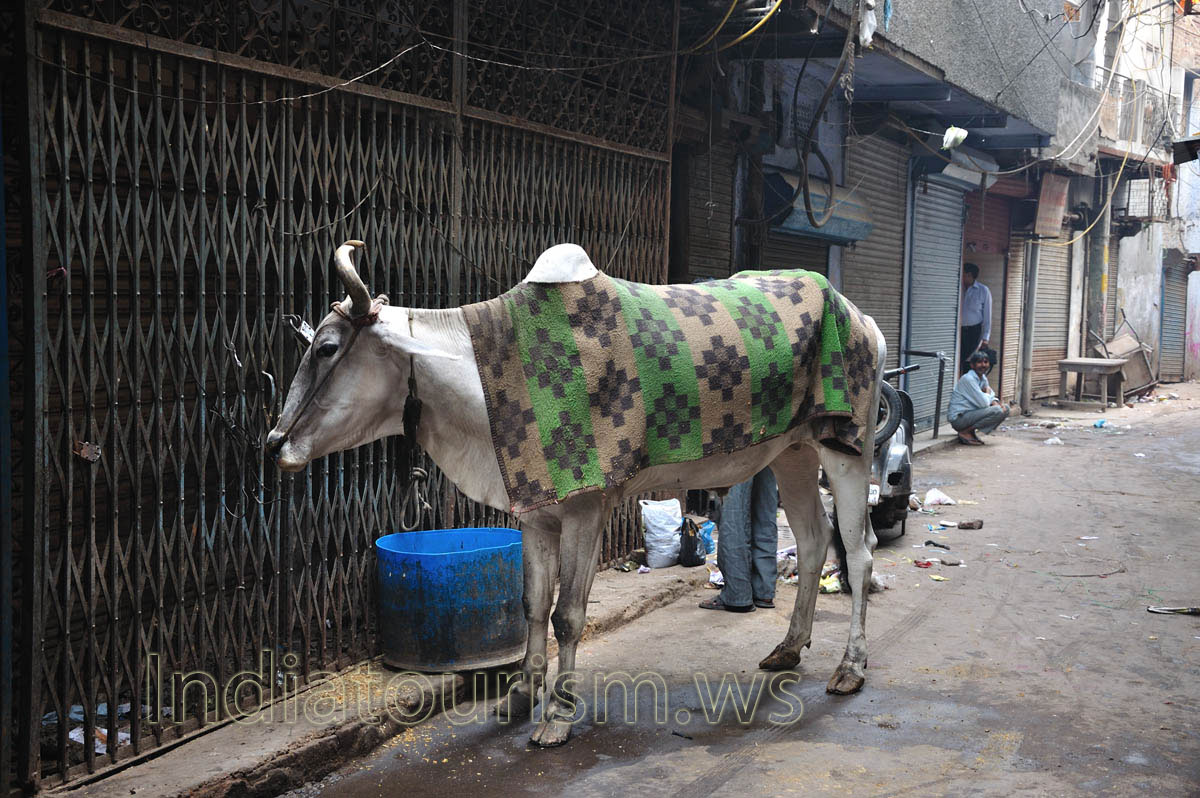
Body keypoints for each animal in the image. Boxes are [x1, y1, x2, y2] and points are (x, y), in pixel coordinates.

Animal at [266, 240, 885, 747]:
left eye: (327, 348)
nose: (274, 443)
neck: (489, 376)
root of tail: (865, 321)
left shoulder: (588, 509)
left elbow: (568, 615)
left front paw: (558, 715)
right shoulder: (536, 515)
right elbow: (532, 605)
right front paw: (521, 695)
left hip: (846, 450)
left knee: (859, 552)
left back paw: (851, 667)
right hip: (794, 453)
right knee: (813, 541)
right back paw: (789, 646)